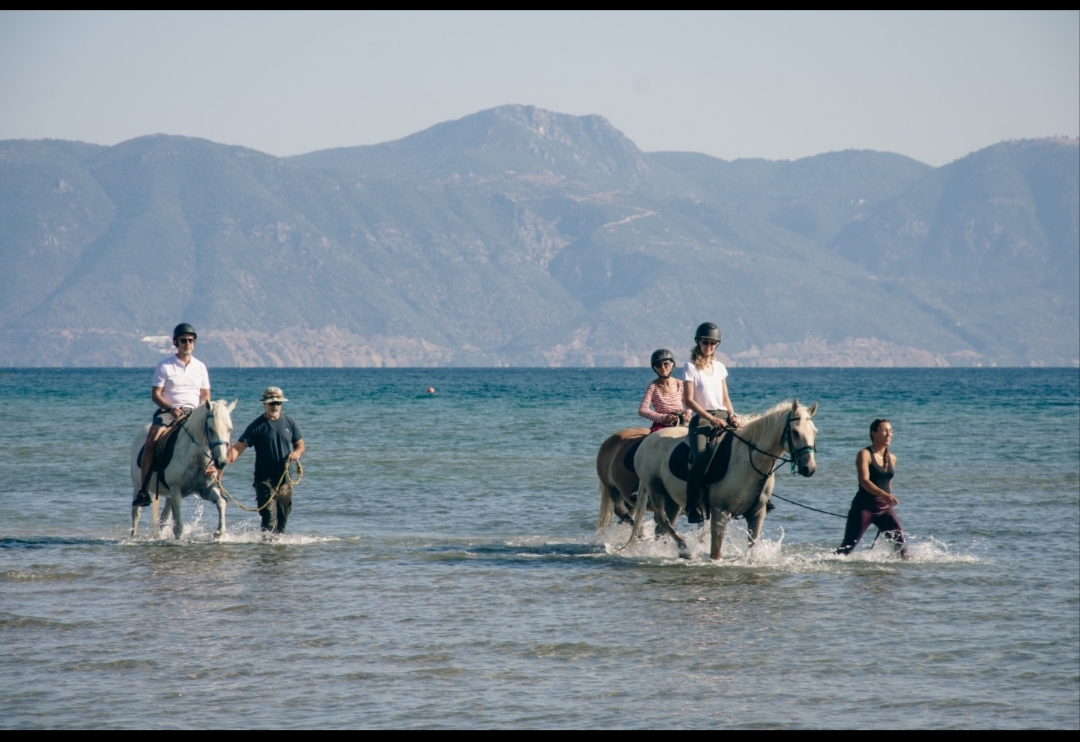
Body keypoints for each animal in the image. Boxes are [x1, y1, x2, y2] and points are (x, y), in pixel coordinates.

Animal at [129, 399, 236, 539]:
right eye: (210, 429)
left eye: (230, 429)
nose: (222, 462)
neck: (195, 457)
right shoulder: (176, 490)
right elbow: (179, 527)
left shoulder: (205, 489)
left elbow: (221, 502)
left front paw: (219, 533)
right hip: (138, 486)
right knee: (136, 514)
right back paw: (133, 536)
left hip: (168, 494)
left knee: (164, 517)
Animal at [622, 399, 818, 560]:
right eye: (795, 432)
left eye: (815, 432)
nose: (809, 468)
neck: (748, 461)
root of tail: (647, 440)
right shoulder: (719, 512)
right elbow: (715, 553)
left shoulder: (757, 513)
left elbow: (752, 549)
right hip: (654, 487)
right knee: (661, 519)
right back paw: (685, 550)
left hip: (672, 500)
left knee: (662, 527)